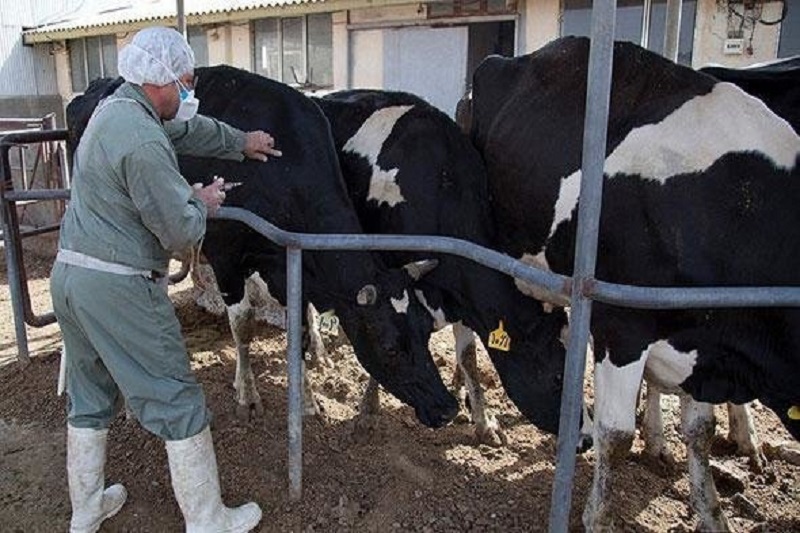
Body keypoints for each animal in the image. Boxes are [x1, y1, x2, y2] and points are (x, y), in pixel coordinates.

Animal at [65, 66, 460, 430]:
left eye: (426, 330)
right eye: (390, 348)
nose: (447, 408)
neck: (281, 167)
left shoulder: (289, 264)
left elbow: (299, 332)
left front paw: (307, 402)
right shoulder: (226, 257)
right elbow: (242, 327)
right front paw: (248, 397)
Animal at [314, 89, 576, 442]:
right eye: (558, 377)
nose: (585, 438)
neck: (442, 183)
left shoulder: (461, 297)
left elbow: (468, 357)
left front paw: (483, 422)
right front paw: (368, 410)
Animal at [468, 36, 800, 528]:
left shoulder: (701, 344)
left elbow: (700, 430)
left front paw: (712, 514)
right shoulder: (622, 324)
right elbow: (616, 435)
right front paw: (597, 518)